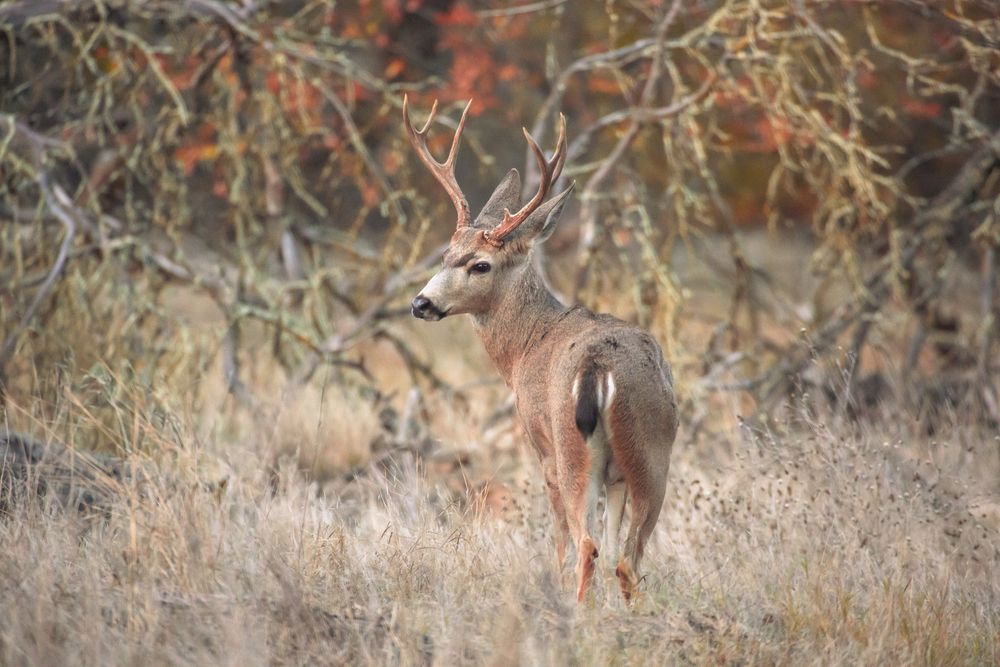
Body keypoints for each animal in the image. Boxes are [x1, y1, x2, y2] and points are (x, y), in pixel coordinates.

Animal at [403, 96, 678, 603]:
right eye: (445, 254)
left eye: (481, 265)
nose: (421, 303)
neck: (526, 346)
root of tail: (599, 368)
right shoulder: (618, 475)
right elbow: (616, 547)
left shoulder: (539, 442)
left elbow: (561, 541)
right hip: (652, 451)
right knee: (627, 558)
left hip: (571, 448)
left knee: (586, 544)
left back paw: (574, 611)